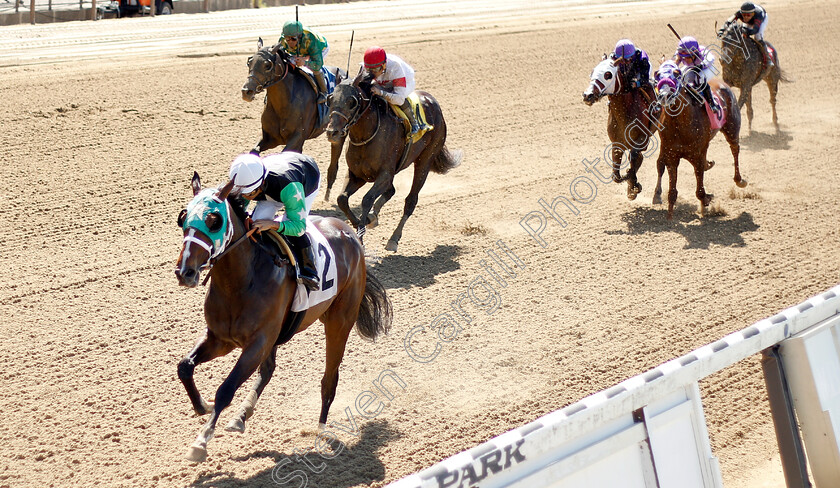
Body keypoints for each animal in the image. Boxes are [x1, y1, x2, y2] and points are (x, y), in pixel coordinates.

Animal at [176, 173, 392, 464]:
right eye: (183, 218)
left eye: (214, 220)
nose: (185, 272)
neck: (241, 281)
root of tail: (350, 233)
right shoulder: (221, 339)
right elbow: (185, 366)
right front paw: (203, 406)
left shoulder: (256, 343)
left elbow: (226, 389)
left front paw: (201, 441)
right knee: (268, 370)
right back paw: (241, 416)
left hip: (339, 321)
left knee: (329, 379)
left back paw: (320, 432)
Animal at [241, 37, 350, 202]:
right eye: (249, 62)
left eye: (267, 65)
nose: (246, 91)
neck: (285, 103)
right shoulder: (271, 138)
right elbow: (254, 152)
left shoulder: (297, 138)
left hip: (338, 132)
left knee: (333, 164)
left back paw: (327, 195)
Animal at [324, 71, 462, 254]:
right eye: (330, 98)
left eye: (352, 101)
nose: (332, 132)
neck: (366, 136)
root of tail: (434, 103)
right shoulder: (357, 175)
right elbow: (341, 198)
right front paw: (360, 222)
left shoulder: (384, 175)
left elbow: (367, 199)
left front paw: (361, 236)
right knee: (391, 191)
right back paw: (374, 216)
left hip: (425, 160)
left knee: (411, 201)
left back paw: (393, 239)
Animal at [580, 57, 660, 200]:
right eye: (592, 72)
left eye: (608, 74)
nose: (587, 95)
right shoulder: (616, 143)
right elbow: (616, 176)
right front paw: (631, 186)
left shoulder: (642, 140)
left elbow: (634, 159)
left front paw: (633, 186)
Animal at [652, 69, 744, 218]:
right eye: (657, 78)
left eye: (676, 76)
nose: (664, 96)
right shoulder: (672, 153)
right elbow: (672, 190)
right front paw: (669, 216)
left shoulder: (698, 152)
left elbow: (699, 185)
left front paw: (706, 199)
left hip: (732, 128)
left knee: (735, 149)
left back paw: (739, 180)